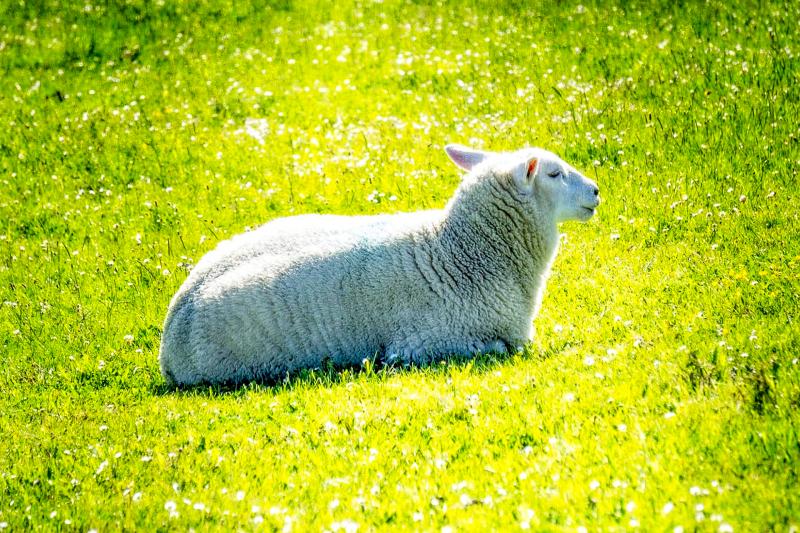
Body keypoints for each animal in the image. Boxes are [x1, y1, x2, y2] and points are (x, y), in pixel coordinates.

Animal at [159, 144, 600, 386]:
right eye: (554, 174)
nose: (596, 191)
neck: (459, 252)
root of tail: (169, 339)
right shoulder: (422, 344)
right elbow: (500, 347)